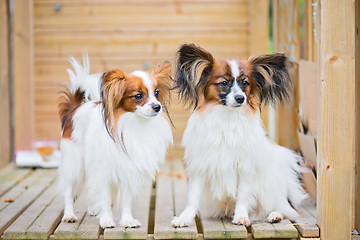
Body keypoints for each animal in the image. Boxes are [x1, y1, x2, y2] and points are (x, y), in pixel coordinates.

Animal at [57, 55, 173, 229]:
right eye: (138, 96)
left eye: (157, 93)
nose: (157, 107)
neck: (134, 124)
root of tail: (74, 110)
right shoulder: (103, 171)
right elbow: (105, 198)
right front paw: (106, 220)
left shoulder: (129, 170)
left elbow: (126, 200)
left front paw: (127, 220)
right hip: (74, 164)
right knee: (68, 191)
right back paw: (69, 215)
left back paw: (93, 209)